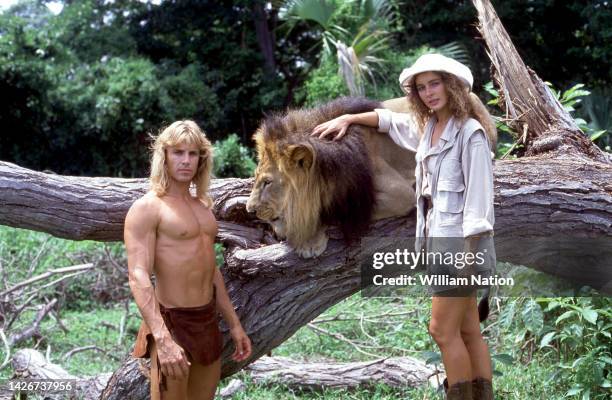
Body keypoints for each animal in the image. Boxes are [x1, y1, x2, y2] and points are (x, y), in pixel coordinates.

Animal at [245, 98, 416, 258]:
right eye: (256, 177)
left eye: (267, 182)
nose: (250, 210)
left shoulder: (401, 194)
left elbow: (335, 211)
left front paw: (309, 242)